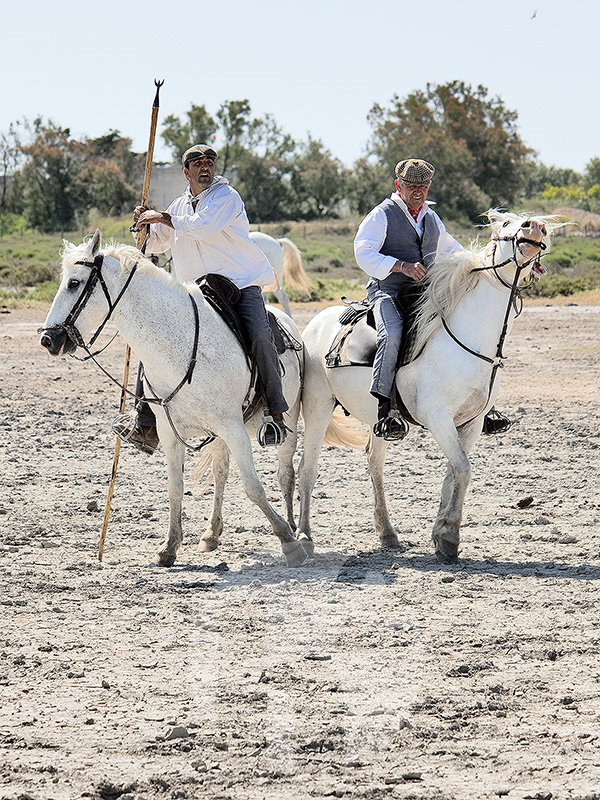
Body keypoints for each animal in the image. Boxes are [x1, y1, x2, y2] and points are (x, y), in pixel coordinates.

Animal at [38, 231, 310, 564]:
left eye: (74, 283)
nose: (48, 339)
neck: (181, 349)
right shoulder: (172, 433)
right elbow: (176, 489)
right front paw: (169, 547)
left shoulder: (233, 428)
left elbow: (253, 487)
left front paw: (288, 541)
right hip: (218, 435)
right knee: (221, 472)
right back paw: (211, 533)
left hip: (286, 420)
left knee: (286, 473)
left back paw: (296, 530)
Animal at [298, 212, 556, 564]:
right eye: (505, 225)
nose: (536, 227)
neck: (469, 337)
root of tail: (318, 322)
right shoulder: (438, 417)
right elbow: (462, 468)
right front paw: (448, 536)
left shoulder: (471, 423)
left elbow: (454, 472)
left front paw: (442, 534)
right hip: (318, 407)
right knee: (307, 470)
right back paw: (304, 537)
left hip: (377, 421)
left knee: (374, 464)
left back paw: (388, 534)